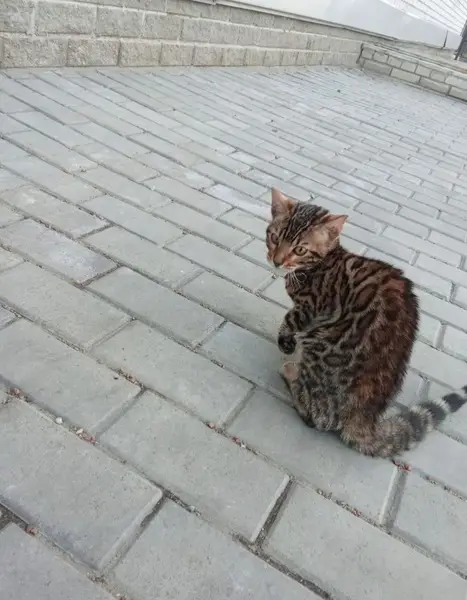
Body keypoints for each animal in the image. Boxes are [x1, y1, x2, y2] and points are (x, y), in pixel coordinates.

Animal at [267, 188, 467, 457]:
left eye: (300, 250)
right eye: (274, 237)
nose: (276, 261)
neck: (323, 263)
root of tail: (365, 419)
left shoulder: (312, 307)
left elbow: (290, 318)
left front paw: (286, 341)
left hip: (321, 346)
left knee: (318, 418)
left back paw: (291, 372)